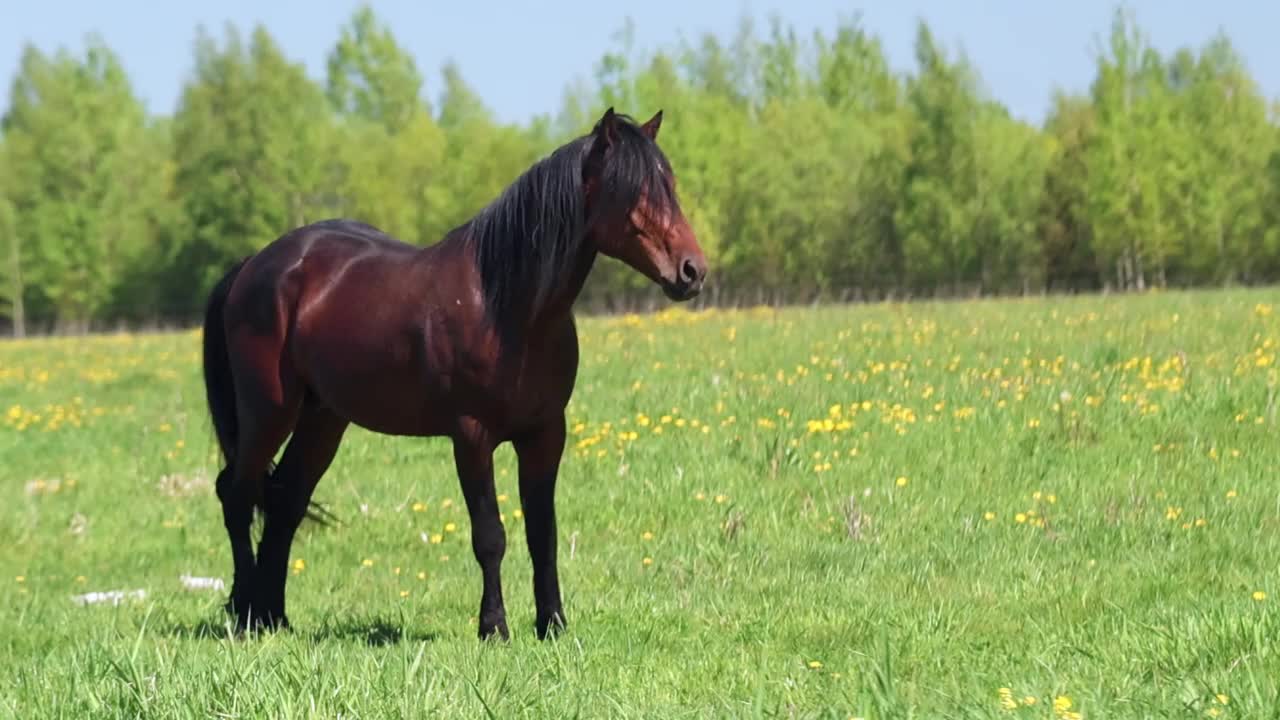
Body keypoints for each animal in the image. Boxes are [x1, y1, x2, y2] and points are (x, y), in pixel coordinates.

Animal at [199, 107, 711, 638]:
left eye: (669, 185)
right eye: (632, 190)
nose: (692, 271)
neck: (508, 307)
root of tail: (255, 265)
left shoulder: (546, 434)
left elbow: (542, 534)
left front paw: (552, 623)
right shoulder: (471, 436)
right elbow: (490, 535)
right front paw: (494, 627)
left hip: (323, 419)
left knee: (285, 501)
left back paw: (273, 616)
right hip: (269, 411)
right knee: (237, 493)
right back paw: (246, 612)